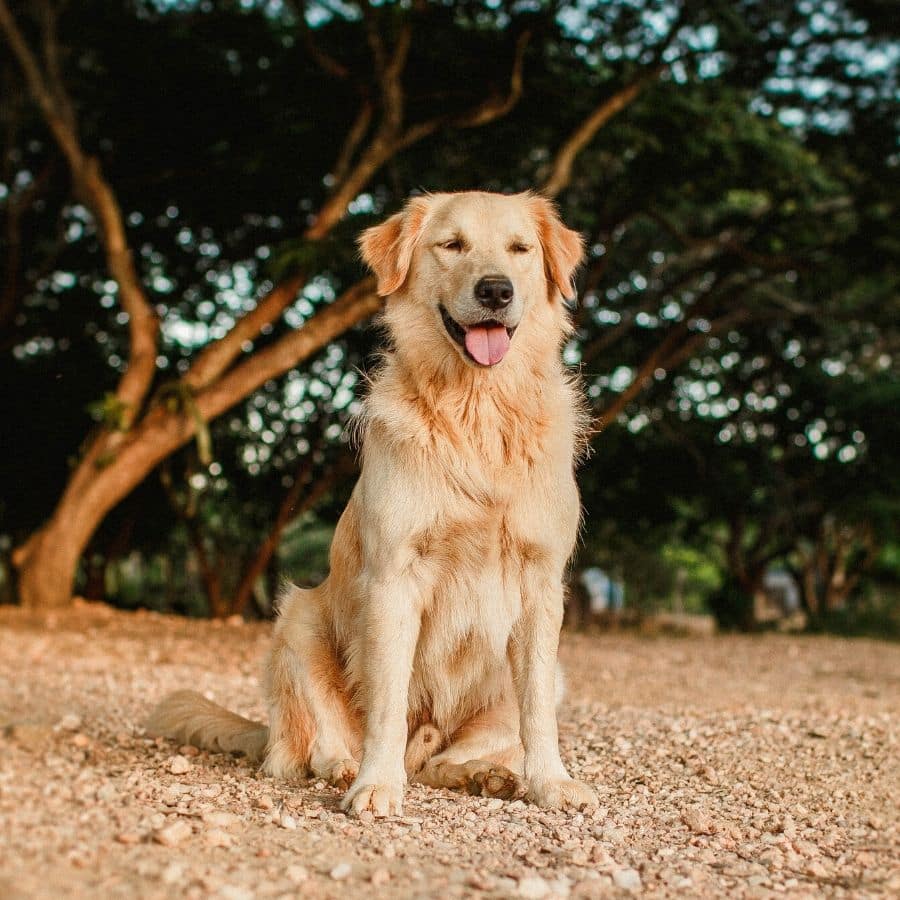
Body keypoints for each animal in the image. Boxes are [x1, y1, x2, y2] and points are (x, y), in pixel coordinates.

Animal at [148, 190, 596, 816]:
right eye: (452, 244)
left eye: (519, 249)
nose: (495, 290)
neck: (477, 411)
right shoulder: (393, 577)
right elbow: (386, 703)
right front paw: (376, 784)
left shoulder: (540, 584)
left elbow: (536, 715)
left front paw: (550, 782)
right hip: (297, 619)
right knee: (307, 749)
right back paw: (343, 768)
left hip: (551, 676)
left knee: (439, 761)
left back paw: (484, 775)